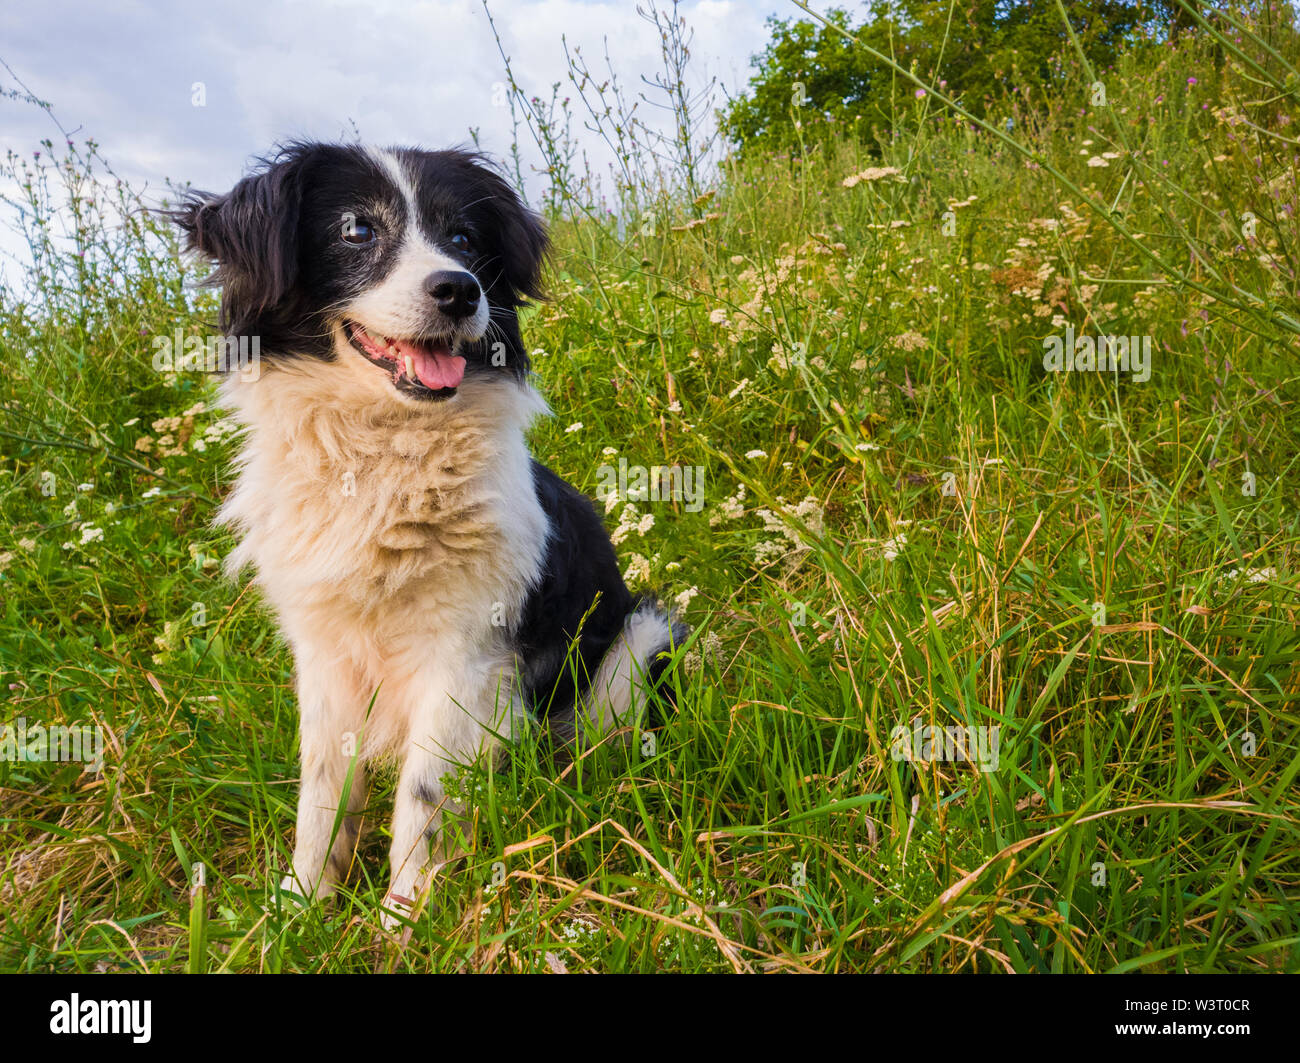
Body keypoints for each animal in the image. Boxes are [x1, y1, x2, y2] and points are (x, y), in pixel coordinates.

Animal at [172, 140, 691, 920]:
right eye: (357, 230)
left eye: (465, 239)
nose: (459, 291)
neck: (385, 453)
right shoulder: (323, 653)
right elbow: (322, 791)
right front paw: (302, 906)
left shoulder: (465, 652)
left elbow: (423, 792)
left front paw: (405, 914)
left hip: (642, 639)